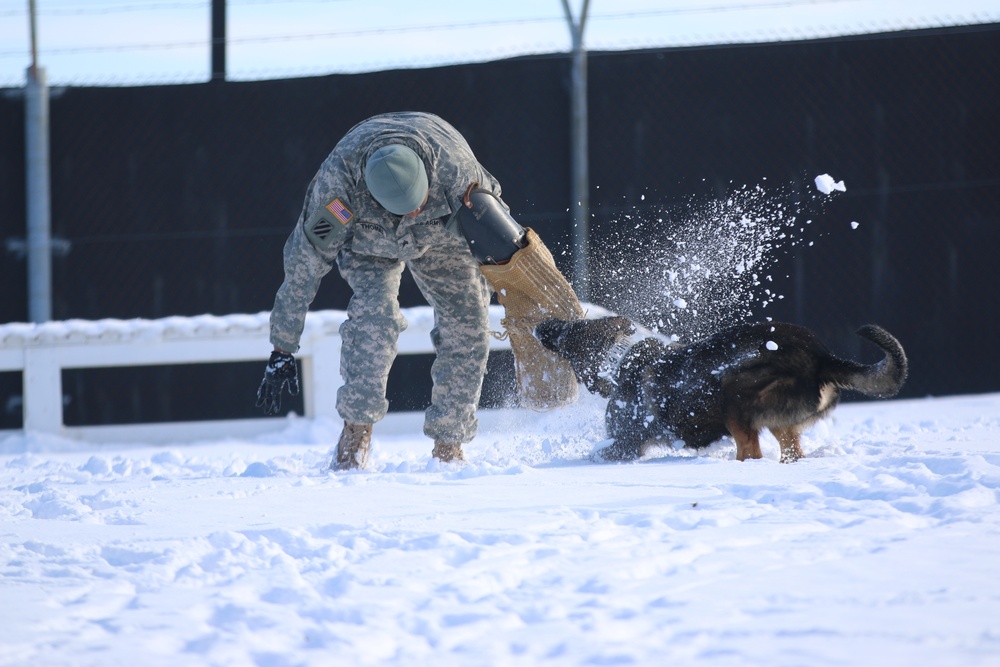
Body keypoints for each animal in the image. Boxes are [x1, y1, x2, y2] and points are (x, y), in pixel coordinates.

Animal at [536, 318, 912, 464]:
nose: (541, 325)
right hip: (779, 422)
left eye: (568, 331)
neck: (620, 358)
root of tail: (821, 357)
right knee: (789, 452)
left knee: (751, 452)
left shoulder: (624, 444)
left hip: (734, 394)